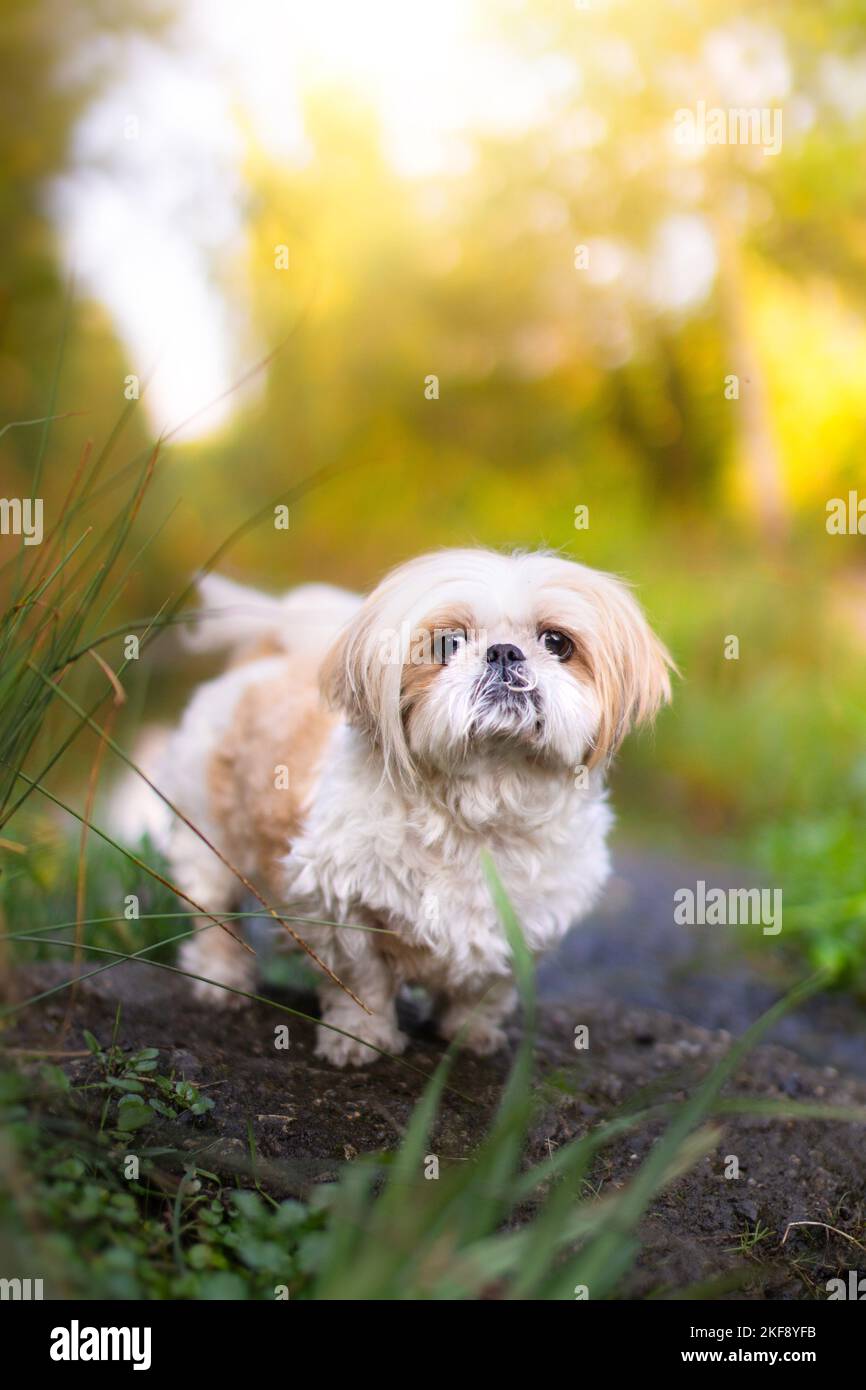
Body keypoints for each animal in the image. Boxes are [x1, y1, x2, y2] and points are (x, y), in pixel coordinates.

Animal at [152, 550, 675, 1061]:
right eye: (448, 644)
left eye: (557, 642)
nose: (504, 652)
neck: (486, 800)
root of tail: (270, 656)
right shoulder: (338, 902)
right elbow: (362, 979)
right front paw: (358, 1037)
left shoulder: (527, 928)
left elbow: (485, 989)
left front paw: (469, 1033)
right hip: (208, 836)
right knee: (214, 912)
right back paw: (221, 979)